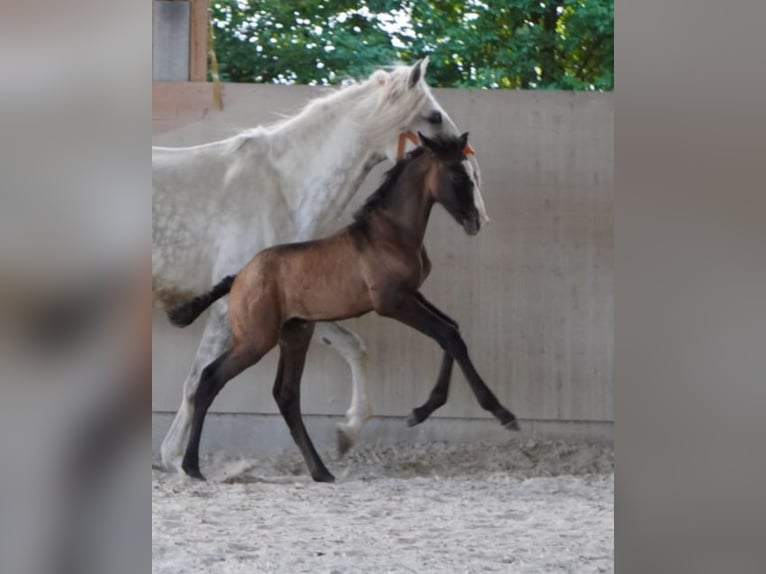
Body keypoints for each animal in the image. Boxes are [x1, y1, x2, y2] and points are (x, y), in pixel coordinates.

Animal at [169, 133, 520, 484]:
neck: (390, 234)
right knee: (210, 379)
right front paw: (501, 413)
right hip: (256, 340)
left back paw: (321, 471)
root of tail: (239, 276)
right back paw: (192, 466)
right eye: (458, 176)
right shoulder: (392, 302)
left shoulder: (412, 295)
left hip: (295, 334)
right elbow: (448, 335)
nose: (476, 221)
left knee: (286, 395)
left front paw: (422, 411)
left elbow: (452, 331)